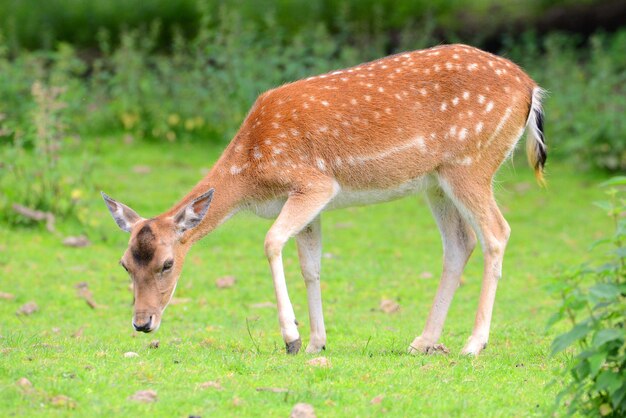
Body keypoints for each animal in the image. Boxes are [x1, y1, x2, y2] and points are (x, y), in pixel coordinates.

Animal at [101, 43, 540, 356]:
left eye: (167, 264)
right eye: (124, 264)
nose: (142, 323)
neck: (251, 173)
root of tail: (531, 89)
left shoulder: (314, 183)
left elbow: (271, 241)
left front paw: (291, 339)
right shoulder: (307, 201)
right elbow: (310, 266)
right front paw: (316, 342)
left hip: (471, 163)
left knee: (497, 233)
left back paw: (472, 344)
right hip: (436, 181)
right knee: (459, 244)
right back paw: (423, 342)